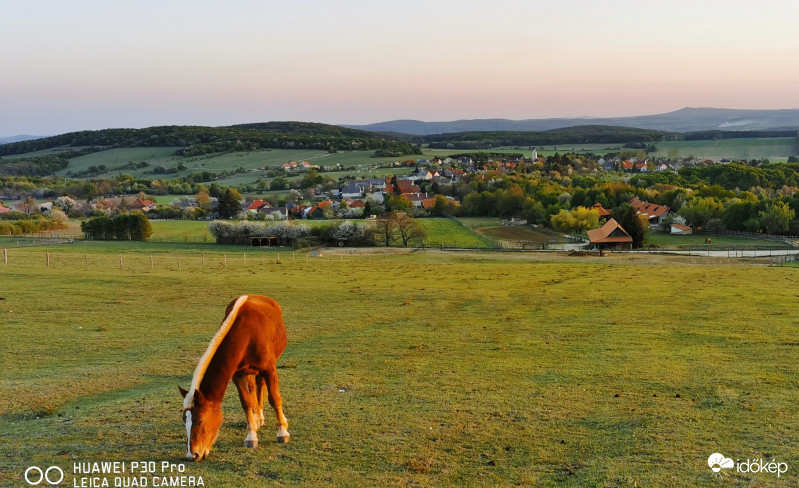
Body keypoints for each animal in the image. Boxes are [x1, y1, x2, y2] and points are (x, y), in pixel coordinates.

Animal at [180, 294, 290, 462]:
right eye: (184, 420)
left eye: (200, 420)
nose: (192, 455)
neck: (247, 334)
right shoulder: (237, 374)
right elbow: (246, 402)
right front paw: (251, 436)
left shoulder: (269, 369)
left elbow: (274, 399)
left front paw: (282, 432)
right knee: (253, 389)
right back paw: (256, 419)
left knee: (260, 385)